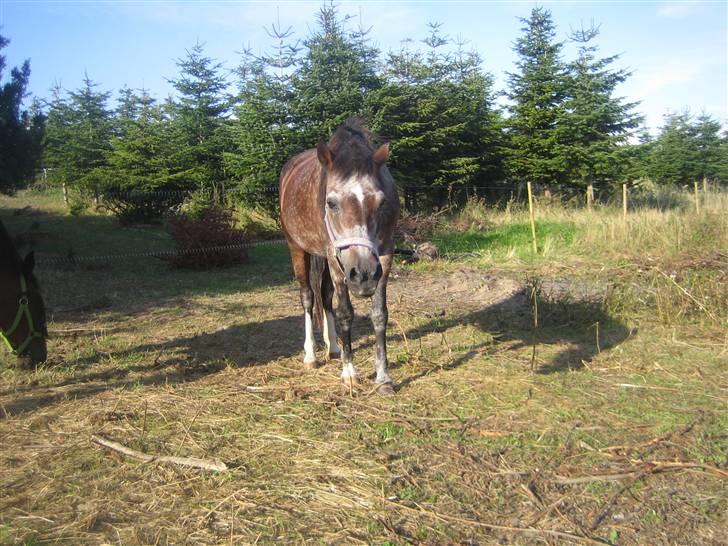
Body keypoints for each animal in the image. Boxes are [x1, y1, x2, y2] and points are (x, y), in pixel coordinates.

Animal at [282, 118, 400, 392]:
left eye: (381, 203)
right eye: (331, 203)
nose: (363, 275)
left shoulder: (384, 257)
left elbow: (380, 314)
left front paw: (383, 377)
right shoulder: (337, 262)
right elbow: (345, 313)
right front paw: (350, 372)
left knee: (325, 296)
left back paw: (334, 347)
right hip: (298, 248)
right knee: (308, 297)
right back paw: (311, 355)